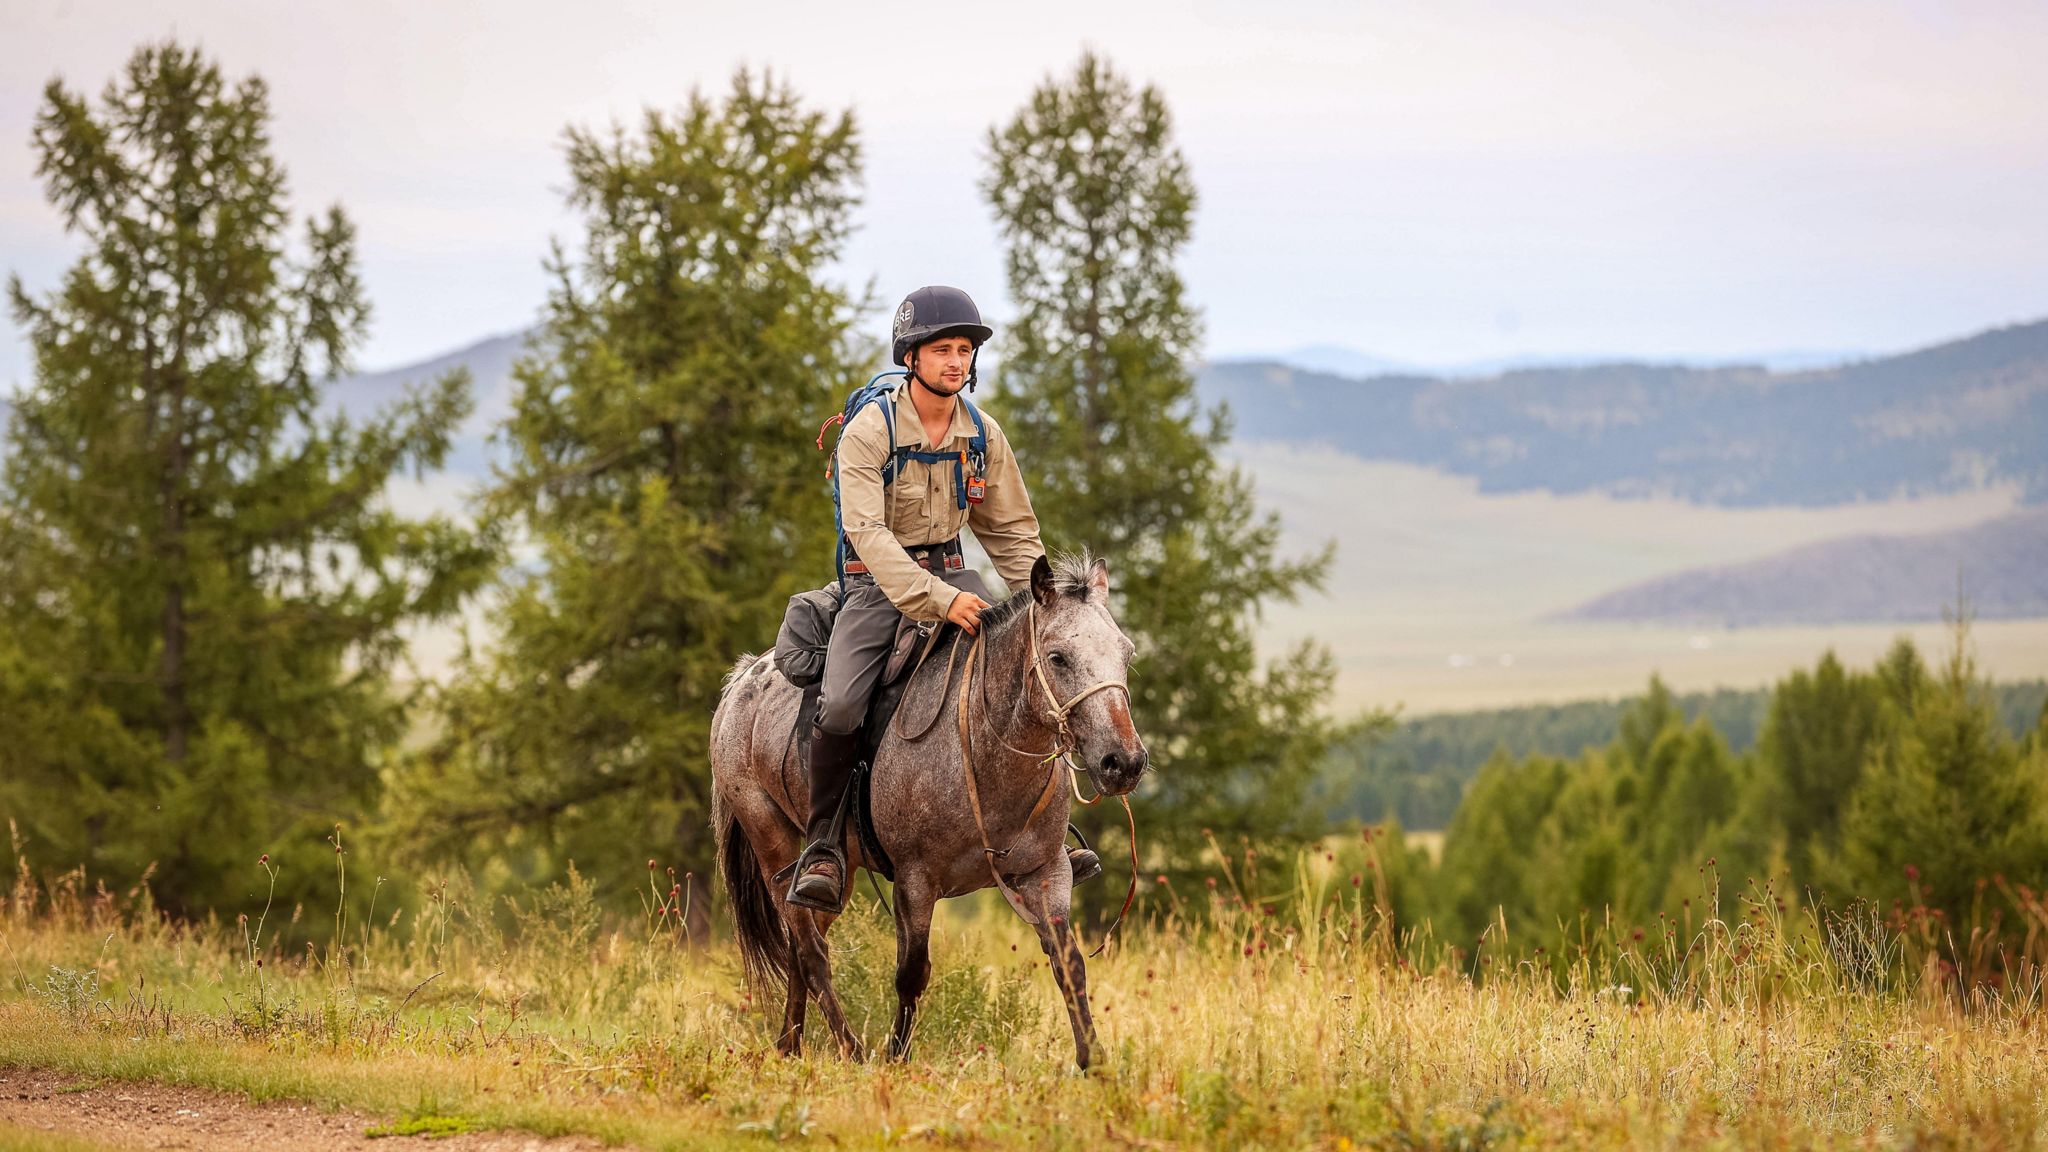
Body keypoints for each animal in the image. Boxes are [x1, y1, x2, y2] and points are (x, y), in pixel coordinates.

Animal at [712, 553, 1146, 1065]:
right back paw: (851, 1050)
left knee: (805, 941)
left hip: (835, 871)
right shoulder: (915, 882)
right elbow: (912, 973)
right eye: (1058, 657)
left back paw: (789, 1046)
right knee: (811, 952)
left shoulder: (1046, 872)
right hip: (771, 840)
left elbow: (1069, 964)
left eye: (1126, 653)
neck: (982, 752)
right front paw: (896, 1058)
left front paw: (1094, 1063)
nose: (1124, 762)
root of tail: (743, 679)